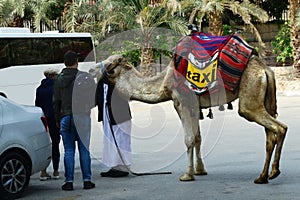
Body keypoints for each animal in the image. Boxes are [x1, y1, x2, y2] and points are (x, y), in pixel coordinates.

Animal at [89, 52, 288, 184]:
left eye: (109, 65)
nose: (90, 69)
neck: (163, 82)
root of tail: (265, 70)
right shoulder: (193, 107)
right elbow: (198, 138)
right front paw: (200, 170)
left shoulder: (182, 103)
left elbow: (189, 139)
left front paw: (187, 175)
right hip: (264, 100)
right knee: (271, 134)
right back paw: (263, 176)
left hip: (250, 100)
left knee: (279, 128)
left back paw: (272, 173)